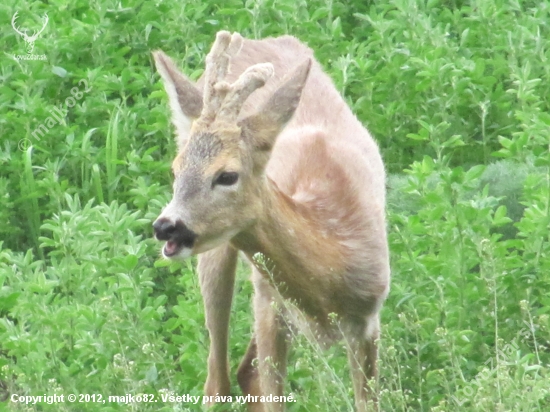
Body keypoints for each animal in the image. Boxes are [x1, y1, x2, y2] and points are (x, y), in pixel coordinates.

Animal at [153, 30, 390, 410]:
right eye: (175, 171)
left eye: (227, 175)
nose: (165, 226)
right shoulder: (269, 306)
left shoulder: (368, 319)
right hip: (222, 260)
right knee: (218, 379)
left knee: (241, 373)